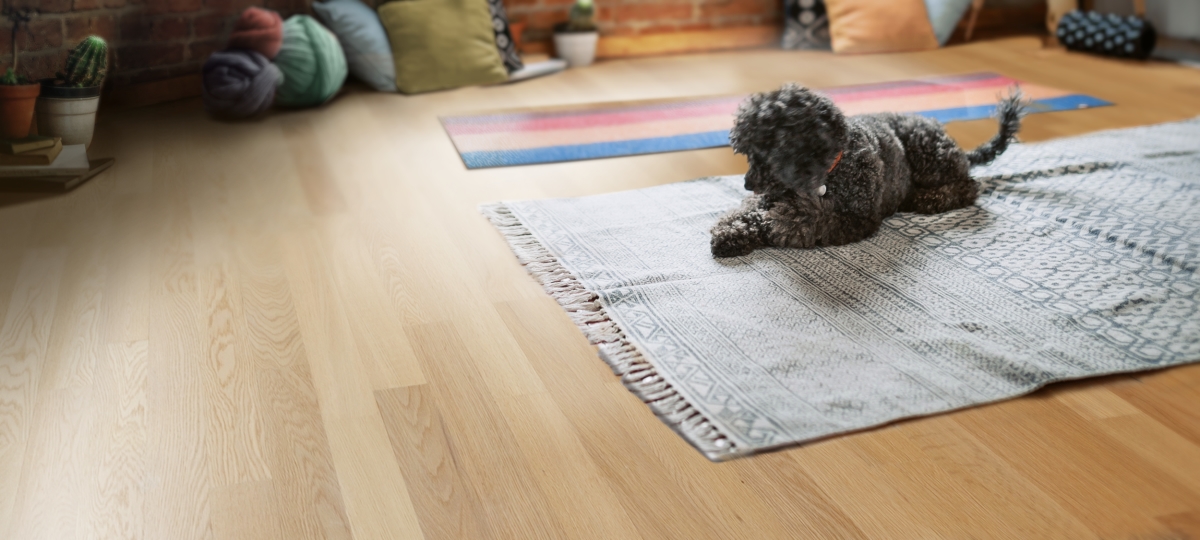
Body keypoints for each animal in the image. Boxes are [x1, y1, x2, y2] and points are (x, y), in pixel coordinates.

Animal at [705, 83, 1027, 258]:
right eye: (749, 153)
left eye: (766, 151)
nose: (748, 184)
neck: (830, 170)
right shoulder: (770, 195)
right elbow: (747, 210)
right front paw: (730, 231)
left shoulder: (853, 217)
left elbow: (796, 221)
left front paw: (769, 224)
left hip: (929, 156)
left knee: (968, 186)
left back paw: (925, 199)